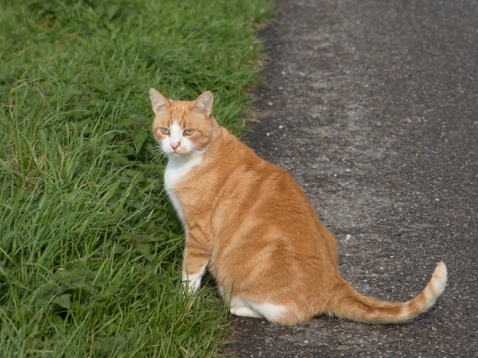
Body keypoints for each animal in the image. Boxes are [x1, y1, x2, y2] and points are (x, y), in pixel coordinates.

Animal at [149, 89, 448, 324]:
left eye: (188, 132)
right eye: (165, 131)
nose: (174, 145)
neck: (191, 160)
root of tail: (335, 282)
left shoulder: (199, 232)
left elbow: (190, 272)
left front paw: (183, 300)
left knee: (286, 315)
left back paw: (238, 307)